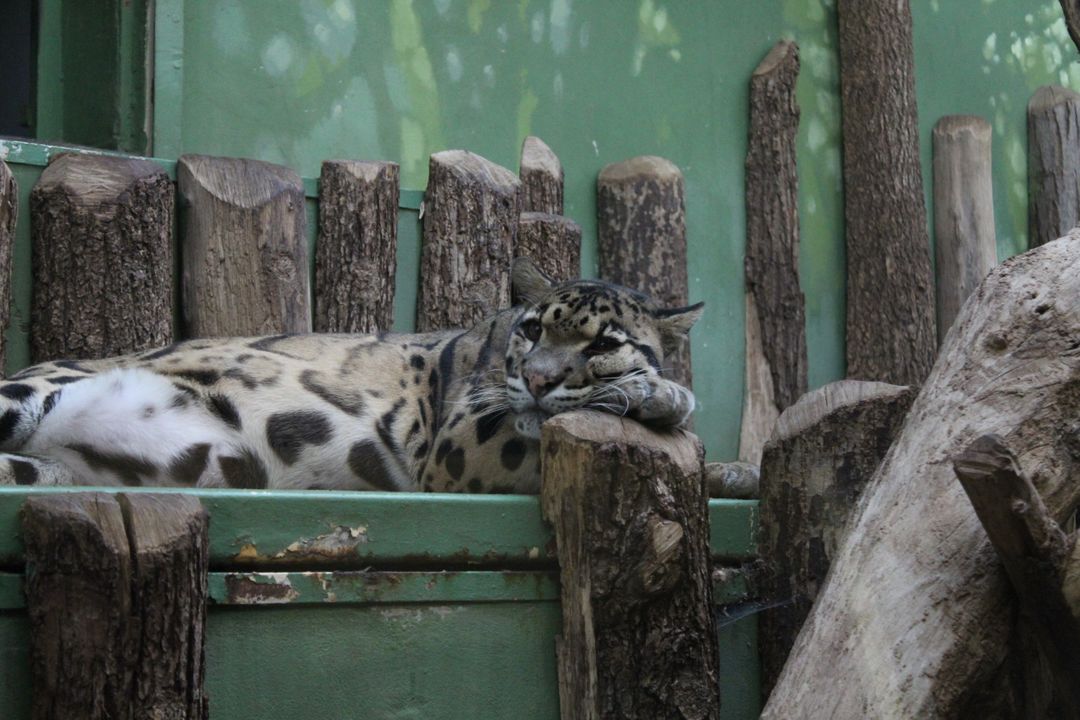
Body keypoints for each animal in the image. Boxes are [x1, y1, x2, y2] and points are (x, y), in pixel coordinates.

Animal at [0, 258, 702, 493]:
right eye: (532, 330)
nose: (536, 380)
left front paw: (659, 394)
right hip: (24, 394)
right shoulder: (459, 443)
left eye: (602, 341)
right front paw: (658, 390)